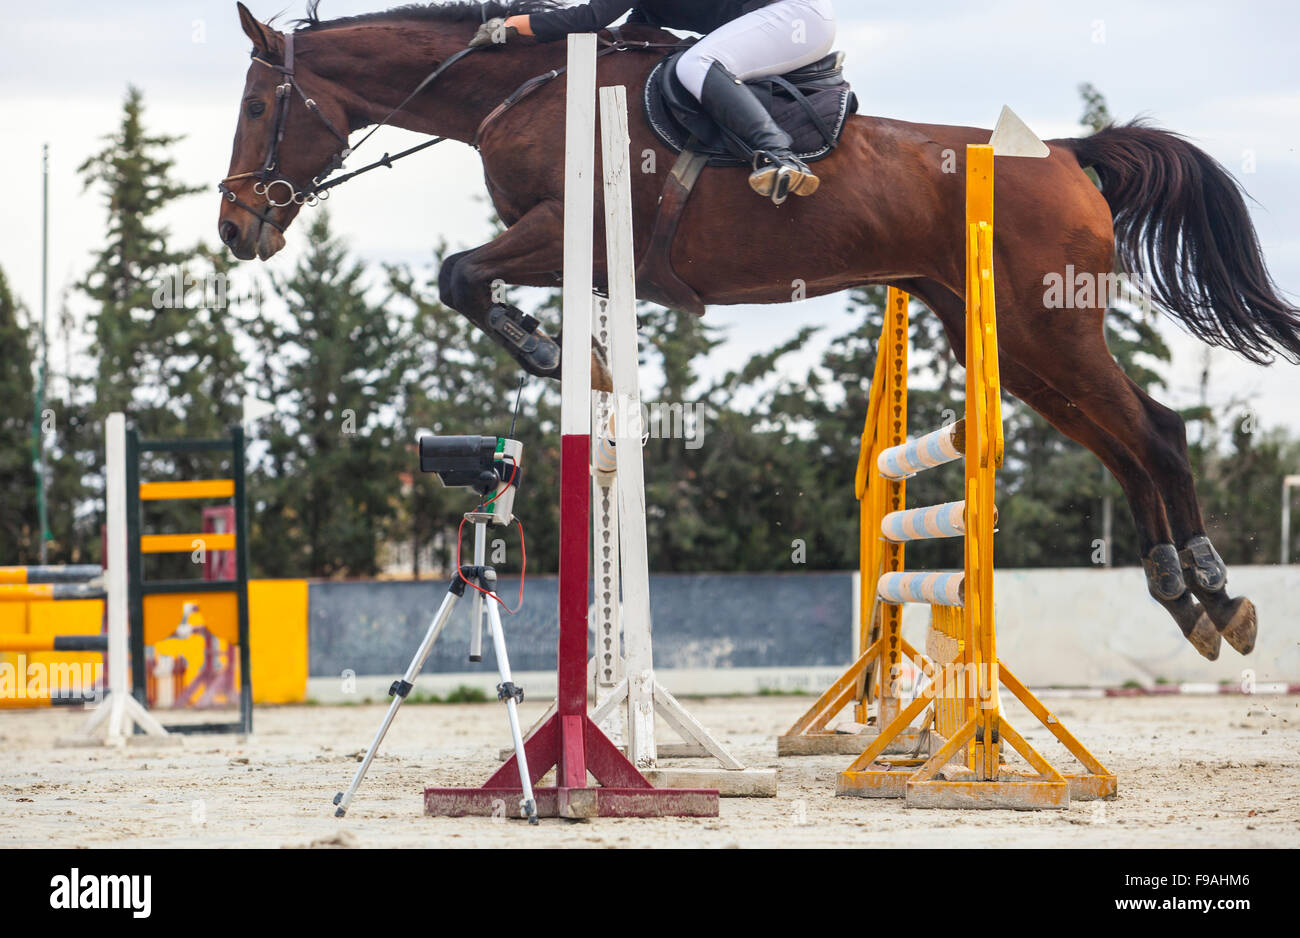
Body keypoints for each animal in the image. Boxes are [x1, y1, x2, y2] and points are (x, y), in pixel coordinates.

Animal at [218, 1, 1294, 657]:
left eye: (261, 103)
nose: (234, 228)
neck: (525, 91)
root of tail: (1067, 155)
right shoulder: (577, 252)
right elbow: (468, 281)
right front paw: (565, 352)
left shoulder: (565, 230)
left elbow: (457, 273)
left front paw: (543, 347)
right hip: (1019, 346)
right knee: (1127, 442)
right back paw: (1186, 595)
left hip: (1043, 331)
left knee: (1157, 431)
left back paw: (1213, 586)